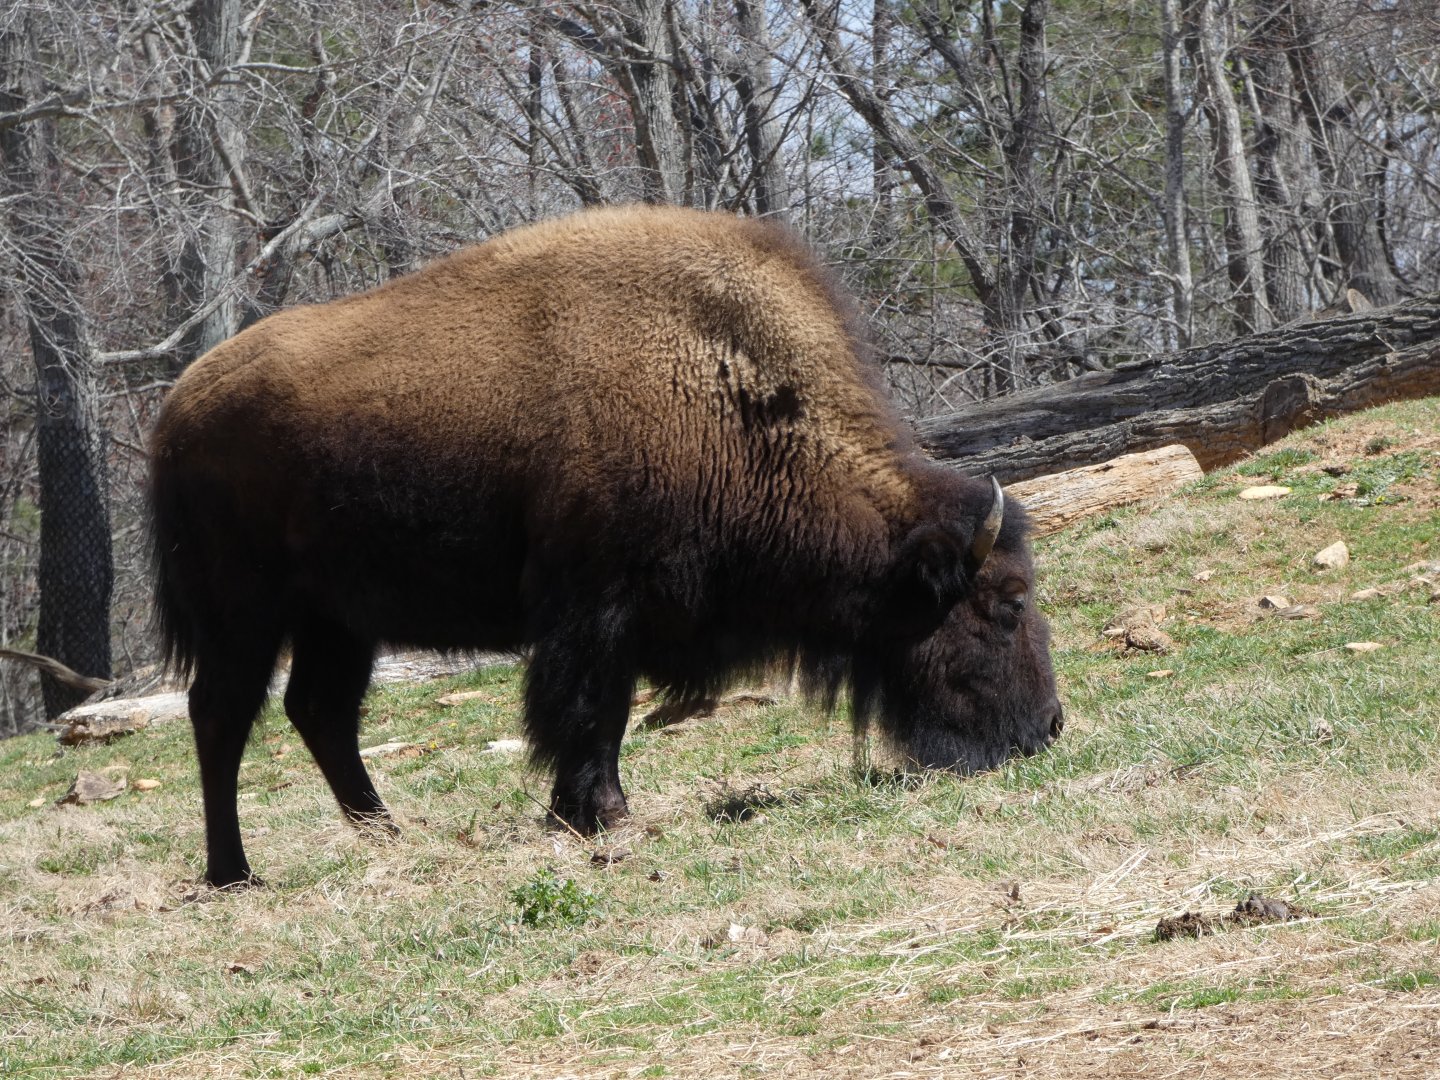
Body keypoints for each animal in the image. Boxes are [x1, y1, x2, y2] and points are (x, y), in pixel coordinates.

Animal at [149, 206, 1062, 887]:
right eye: (1007, 605)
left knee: (321, 712)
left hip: (339, 620)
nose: (1049, 727)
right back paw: (233, 871)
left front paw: (581, 812)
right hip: (245, 614)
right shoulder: (595, 608)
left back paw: (389, 835)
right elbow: (591, 711)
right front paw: (603, 814)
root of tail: (176, 411)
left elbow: (599, 712)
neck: (728, 388)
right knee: (222, 715)